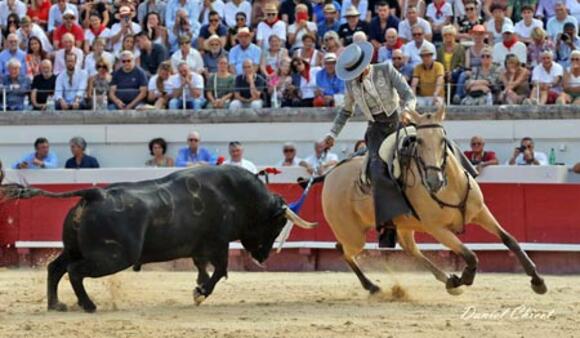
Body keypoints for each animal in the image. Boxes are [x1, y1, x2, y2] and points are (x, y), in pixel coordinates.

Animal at [0, 165, 318, 312]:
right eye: (276, 225)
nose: (263, 257)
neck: (235, 194)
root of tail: (95, 193)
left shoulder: (200, 247)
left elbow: (203, 268)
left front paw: (198, 287)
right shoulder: (217, 243)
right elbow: (221, 270)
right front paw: (200, 293)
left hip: (74, 248)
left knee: (55, 268)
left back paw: (56, 304)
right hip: (113, 257)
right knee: (75, 271)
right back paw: (88, 305)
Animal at [322, 105, 548, 296]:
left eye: (443, 139)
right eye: (419, 142)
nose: (434, 180)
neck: (451, 187)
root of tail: (330, 174)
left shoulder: (480, 211)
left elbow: (510, 240)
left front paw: (538, 281)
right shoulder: (437, 228)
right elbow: (470, 255)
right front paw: (461, 279)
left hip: (403, 226)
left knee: (410, 249)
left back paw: (444, 279)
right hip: (353, 234)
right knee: (343, 249)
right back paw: (372, 286)